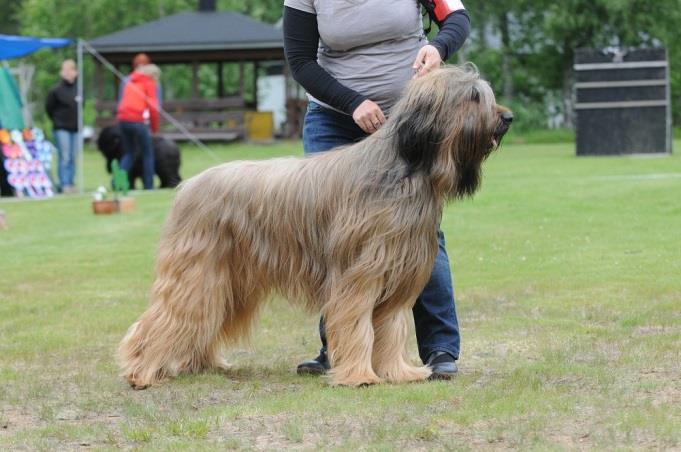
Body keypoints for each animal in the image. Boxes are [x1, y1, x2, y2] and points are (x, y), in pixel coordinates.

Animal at [118, 66, 510, 388]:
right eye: (473, 97)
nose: (508, 117)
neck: (404, 170)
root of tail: (189, 184)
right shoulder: (359, 276)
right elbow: (358, 326)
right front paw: (360, 376)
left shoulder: (399, 275)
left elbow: (393, 328)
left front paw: (398, 372)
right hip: (196, 273)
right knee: (166, 318)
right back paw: (140, 371)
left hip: (227, 281)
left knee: (204, 319)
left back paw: (202, 364)